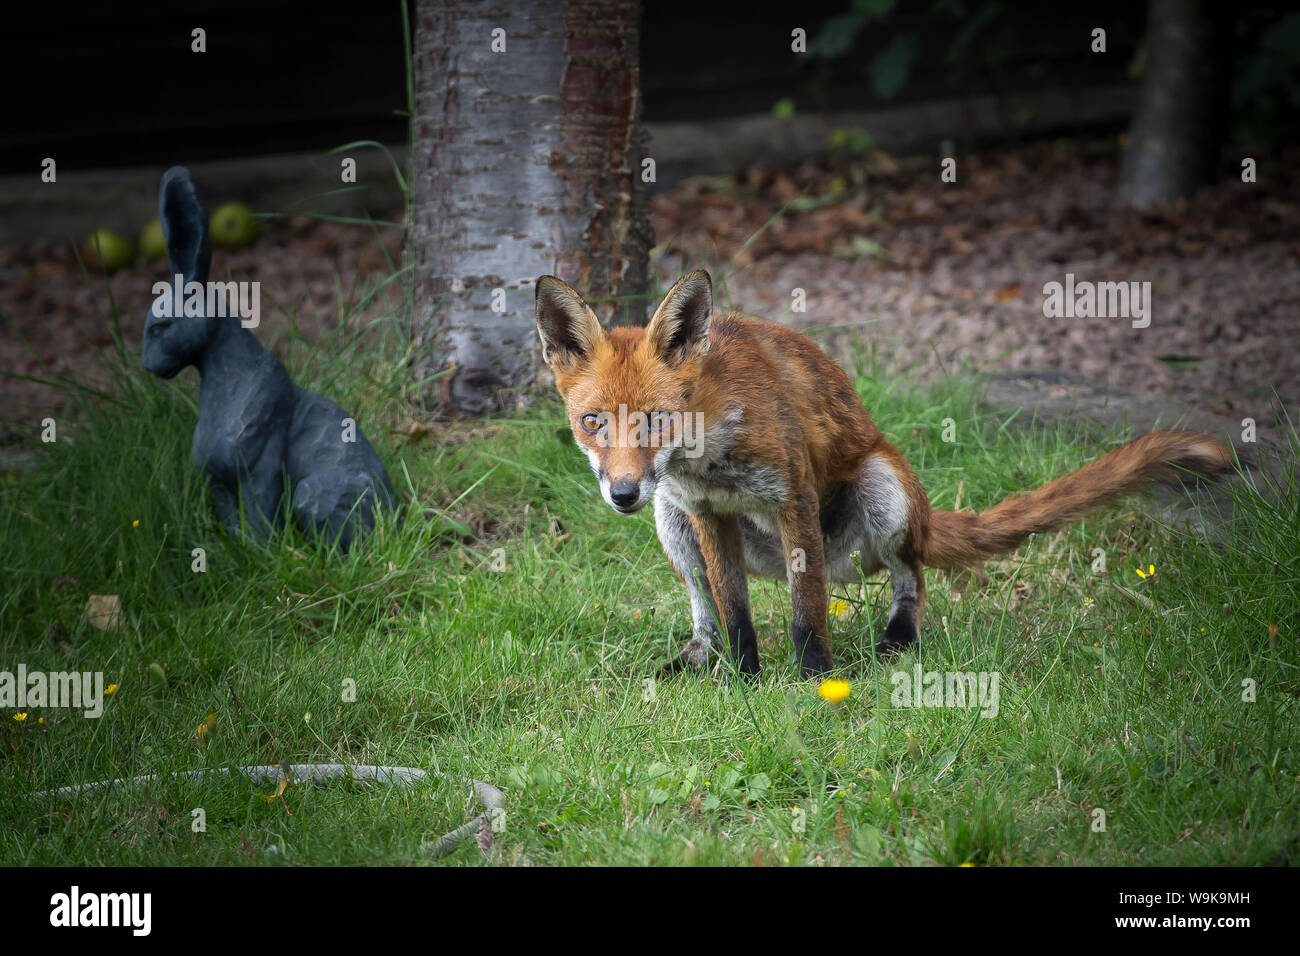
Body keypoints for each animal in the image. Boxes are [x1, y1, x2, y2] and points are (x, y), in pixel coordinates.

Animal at [534, 269, 1234, 679]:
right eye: (593, 422)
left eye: (655, 421)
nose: (623, 492)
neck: (709, 453)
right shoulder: (704, 510)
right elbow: (735, 613)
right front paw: (745, 680)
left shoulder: (793, 498)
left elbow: (806, 610)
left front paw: (816, 682)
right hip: (670, 519)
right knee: (704, 601)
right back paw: (699, 657)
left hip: (882, 492)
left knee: (910, 574)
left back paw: (898, 638)